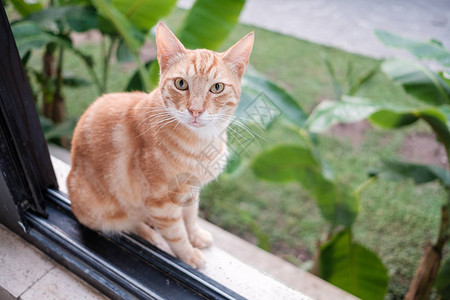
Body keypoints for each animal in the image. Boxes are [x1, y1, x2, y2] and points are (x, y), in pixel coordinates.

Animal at [66, 22, 253, 268]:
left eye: (217, 88)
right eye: (181, 84)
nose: (195, 110)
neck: (204, 142)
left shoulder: (191, 191)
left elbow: (190, 217)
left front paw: (195, 236)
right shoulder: (162, 202)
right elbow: (176, 233)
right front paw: (189, 255)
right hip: (103, 210)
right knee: (127, 223)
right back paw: (152, 236)